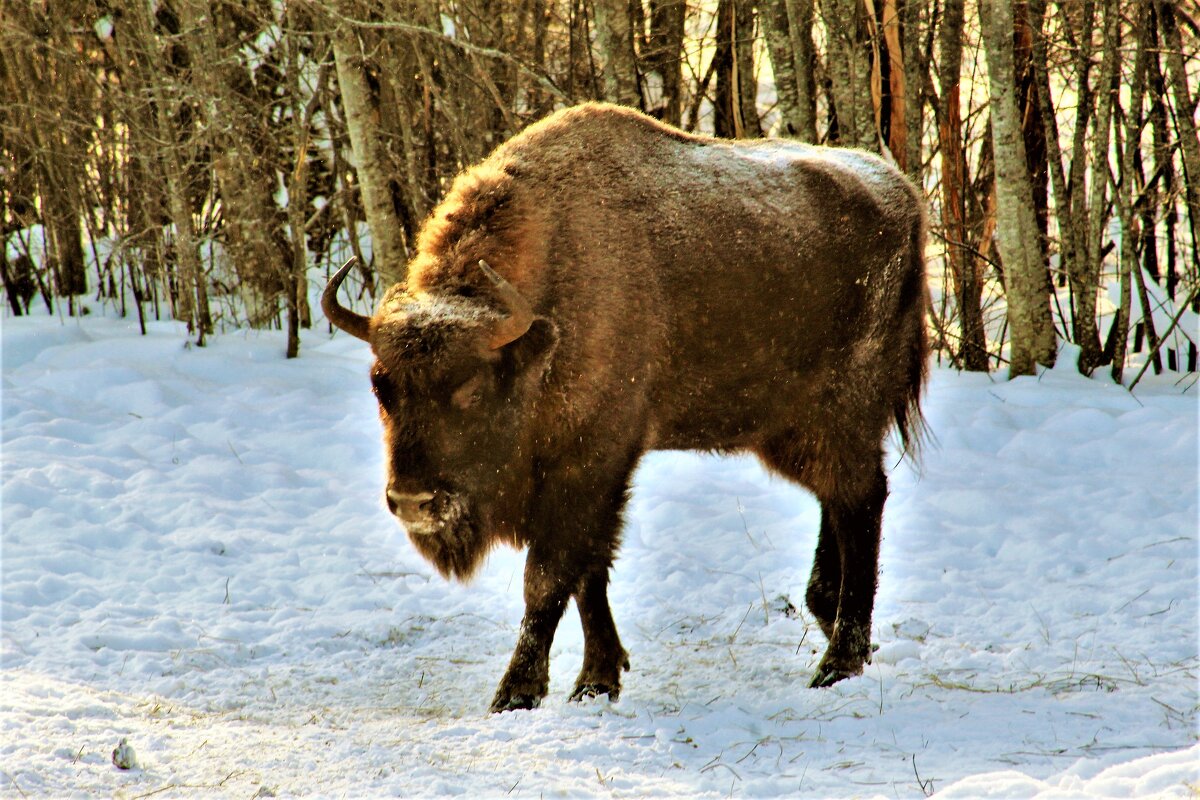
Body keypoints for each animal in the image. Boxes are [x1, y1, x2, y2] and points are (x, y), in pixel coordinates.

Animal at [324, 101, 931, 714]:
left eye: (471, 387)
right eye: (380, 385)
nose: (413, 502)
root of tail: (902, 196)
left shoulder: (590, 464)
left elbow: (549, 577)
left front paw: (517, 693)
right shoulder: (592, 476)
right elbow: (588, 574)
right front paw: (598, 678)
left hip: (840, 415)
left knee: (861, 502)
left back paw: (837, 662)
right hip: (790, 430)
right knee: (840, 501)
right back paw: (829, 618)